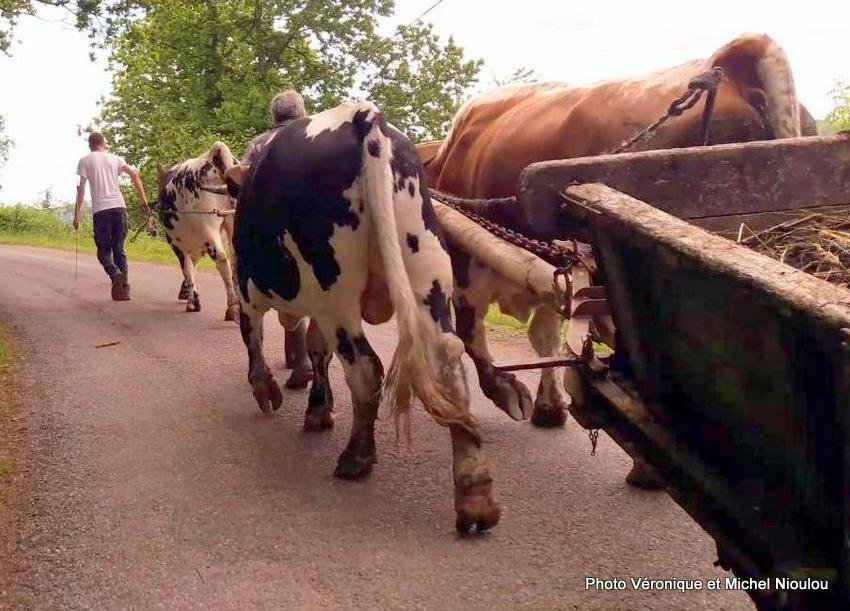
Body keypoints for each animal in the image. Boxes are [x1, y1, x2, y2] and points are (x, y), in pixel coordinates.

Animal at [158, 142, 241, 322]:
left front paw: (192, 301)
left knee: (222, 261)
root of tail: (215, 151)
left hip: (208, 228)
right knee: (236, 261)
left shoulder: (176, 243)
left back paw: (233, 308)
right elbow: (192, 265)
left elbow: (187, 268)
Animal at [224, 101, 501, 533]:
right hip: (427, 278)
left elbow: (253, 340)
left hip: (338, 298)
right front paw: (318, 409)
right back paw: (475, 495)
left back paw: (356, 458)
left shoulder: (249, 289)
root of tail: (363, 115)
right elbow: (316, 351)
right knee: (449, 365)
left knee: (366, 370)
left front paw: (267, 391)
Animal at [421, 33, 817, 487]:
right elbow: (544, 335)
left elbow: (474, 334)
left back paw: (646, 465)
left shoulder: (468, 261)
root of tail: (728, 65)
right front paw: (549, 405)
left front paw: (507, 392)